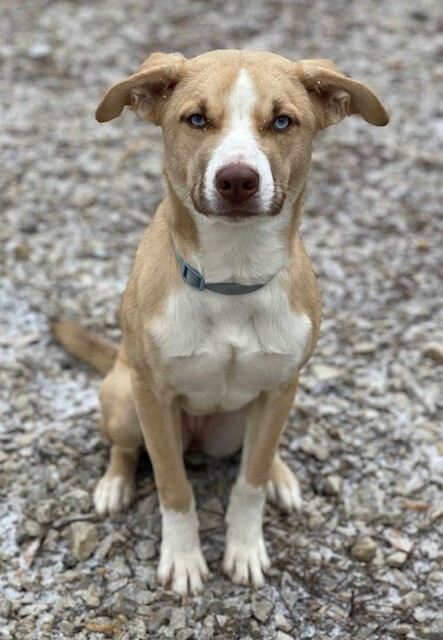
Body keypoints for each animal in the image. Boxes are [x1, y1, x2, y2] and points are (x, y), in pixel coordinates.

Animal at [53, 48, 388, 596]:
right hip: (125, 398)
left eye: (282, 121)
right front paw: (184, 559)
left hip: (252, 413)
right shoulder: (152, 397)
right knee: (125, 448)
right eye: (196, 119)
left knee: (258, 451)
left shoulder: (279, 389)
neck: (232, 277)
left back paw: (281, 476)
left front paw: (246, 548)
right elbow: (173, 486)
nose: (236, 180)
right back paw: (114, 484)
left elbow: (249, 482)